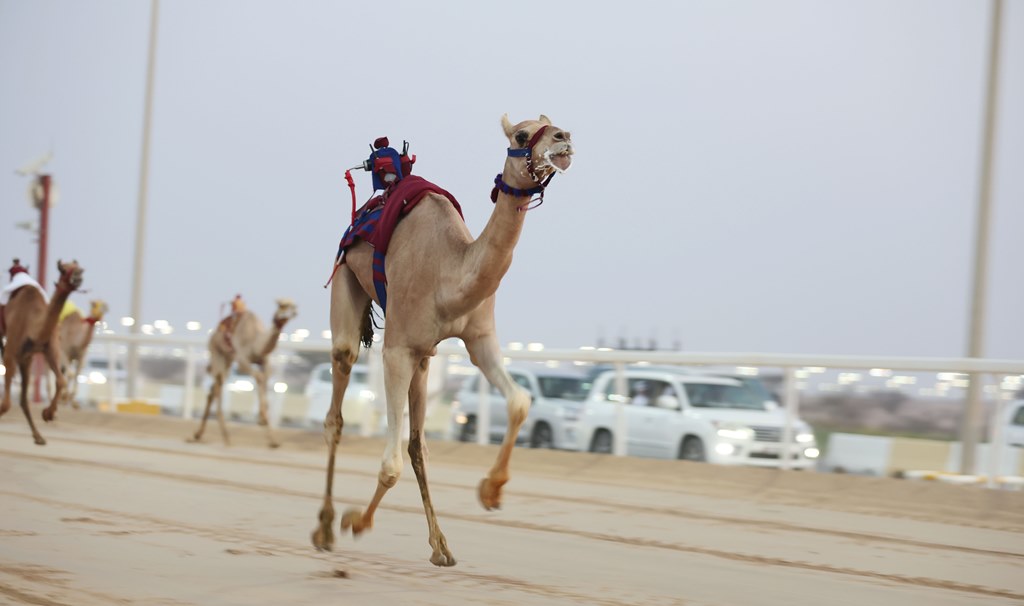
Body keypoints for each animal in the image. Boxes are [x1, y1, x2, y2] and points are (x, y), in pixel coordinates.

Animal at [0, 258, 84, 444]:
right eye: (63, 269)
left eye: (79, 268)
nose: (78, 276)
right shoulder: (11, 351)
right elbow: (6, 404)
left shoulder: (46, 351)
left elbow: (61, 380)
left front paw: (48, 414)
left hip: (25, 360)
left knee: (24, 399)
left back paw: (38, 437)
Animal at [190, 296, 299, 448]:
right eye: (282, 305)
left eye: (294, 306)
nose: (294, 313)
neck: (255, 342)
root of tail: (214, 334)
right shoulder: (242, 360)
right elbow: (259, 377)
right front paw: (262, 420)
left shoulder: (265, 361)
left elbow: (265, 382)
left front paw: (273, 439)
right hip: (217, 353)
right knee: (218, 386)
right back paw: (225, 436)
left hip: (228, 360)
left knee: (213, 389)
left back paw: (199, 434)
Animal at [307, 113, 573, 565]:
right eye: (522, 134)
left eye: (551, 123)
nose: (564, 138)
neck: (451, 273)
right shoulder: (397, 349)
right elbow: (390, 465)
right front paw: (355, 521)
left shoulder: (478, 337)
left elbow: (520, 401)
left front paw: (491, 491)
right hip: (345, 279)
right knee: (336, 405)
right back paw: (325, 527)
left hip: (425, 358)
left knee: (417, 443)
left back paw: (440, 544)